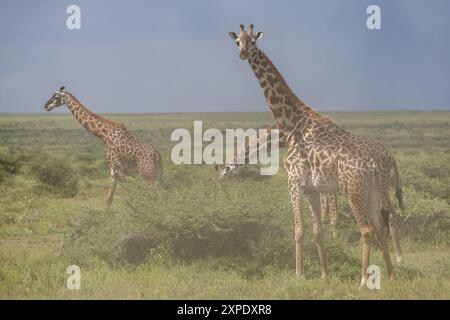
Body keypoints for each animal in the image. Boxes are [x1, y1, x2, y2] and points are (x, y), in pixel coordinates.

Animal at [229, 23, 404, 286]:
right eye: (237, 41)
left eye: (253, 42)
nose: (242, 54)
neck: (292, 123)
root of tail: (380, 162)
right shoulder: (312, 188)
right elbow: (316, 231)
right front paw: (324, 274)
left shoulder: (293, 182)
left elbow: (298, 230)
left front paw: (298, 275)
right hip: (373, 190)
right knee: (381, 224)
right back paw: (391, 275)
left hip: (353, 191)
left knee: (368, 228)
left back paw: (364, 281)